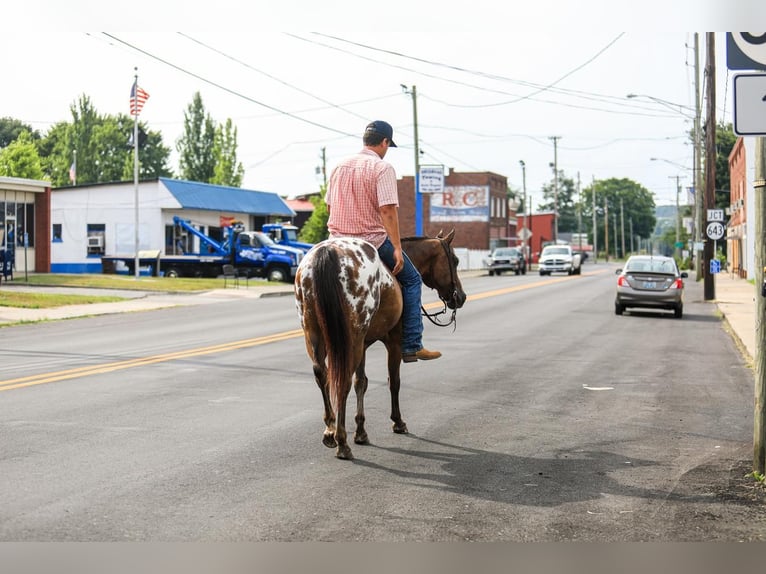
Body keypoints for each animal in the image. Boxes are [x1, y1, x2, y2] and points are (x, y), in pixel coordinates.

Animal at [296, 232, 468, 462]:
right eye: (455, 261)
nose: (461, 297)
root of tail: (327, 252)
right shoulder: (393, 341)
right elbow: (393, 382)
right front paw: (398, 422)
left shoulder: (362, 344)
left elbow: (361, 382)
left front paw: (361, 432)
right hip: (349, 340)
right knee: (342, 382)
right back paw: (342, 441)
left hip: (315, 334)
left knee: (322, 375)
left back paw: (330, 431)